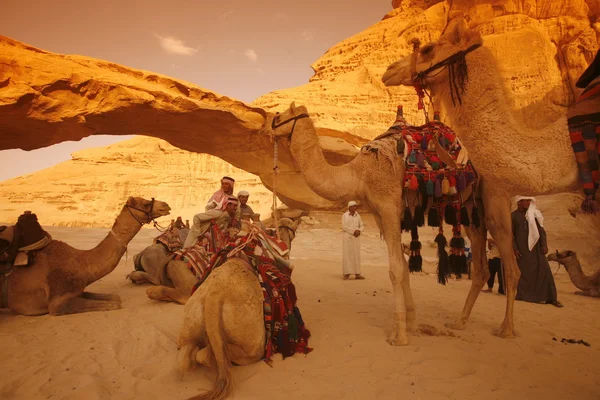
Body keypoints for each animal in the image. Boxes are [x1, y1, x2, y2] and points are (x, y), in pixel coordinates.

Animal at [2, 197, 171, 316]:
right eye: (145, 203)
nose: (166, 206)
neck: (80, 263)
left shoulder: (78, 291)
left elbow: (115, 297)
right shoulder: (56, 303)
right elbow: (116, 304)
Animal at [260, 101, 480, 346]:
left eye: (279, 116)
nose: (265, 128)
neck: (359, 174)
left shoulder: (389, 206)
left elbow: (395, 270)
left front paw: (400, 336)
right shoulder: (378, 213)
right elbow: (403, 267)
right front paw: (410, 325)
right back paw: (461, 322)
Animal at [382, 18, 596, 338]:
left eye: (428, 48)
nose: (389, 70)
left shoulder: (497, 196)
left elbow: (512, 268)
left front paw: (506, 328)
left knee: (498, 267)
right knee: (483, 268)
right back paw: (460, 321)